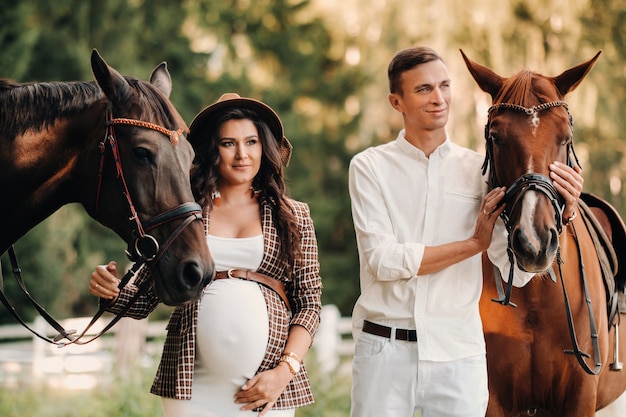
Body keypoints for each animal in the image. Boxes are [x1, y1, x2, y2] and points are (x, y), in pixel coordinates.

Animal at [458, 50, 624, 414]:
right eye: (496, 137)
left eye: (565, 137)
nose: (534, 243)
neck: (535, 292)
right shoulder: (493, 399)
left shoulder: (580, 397)